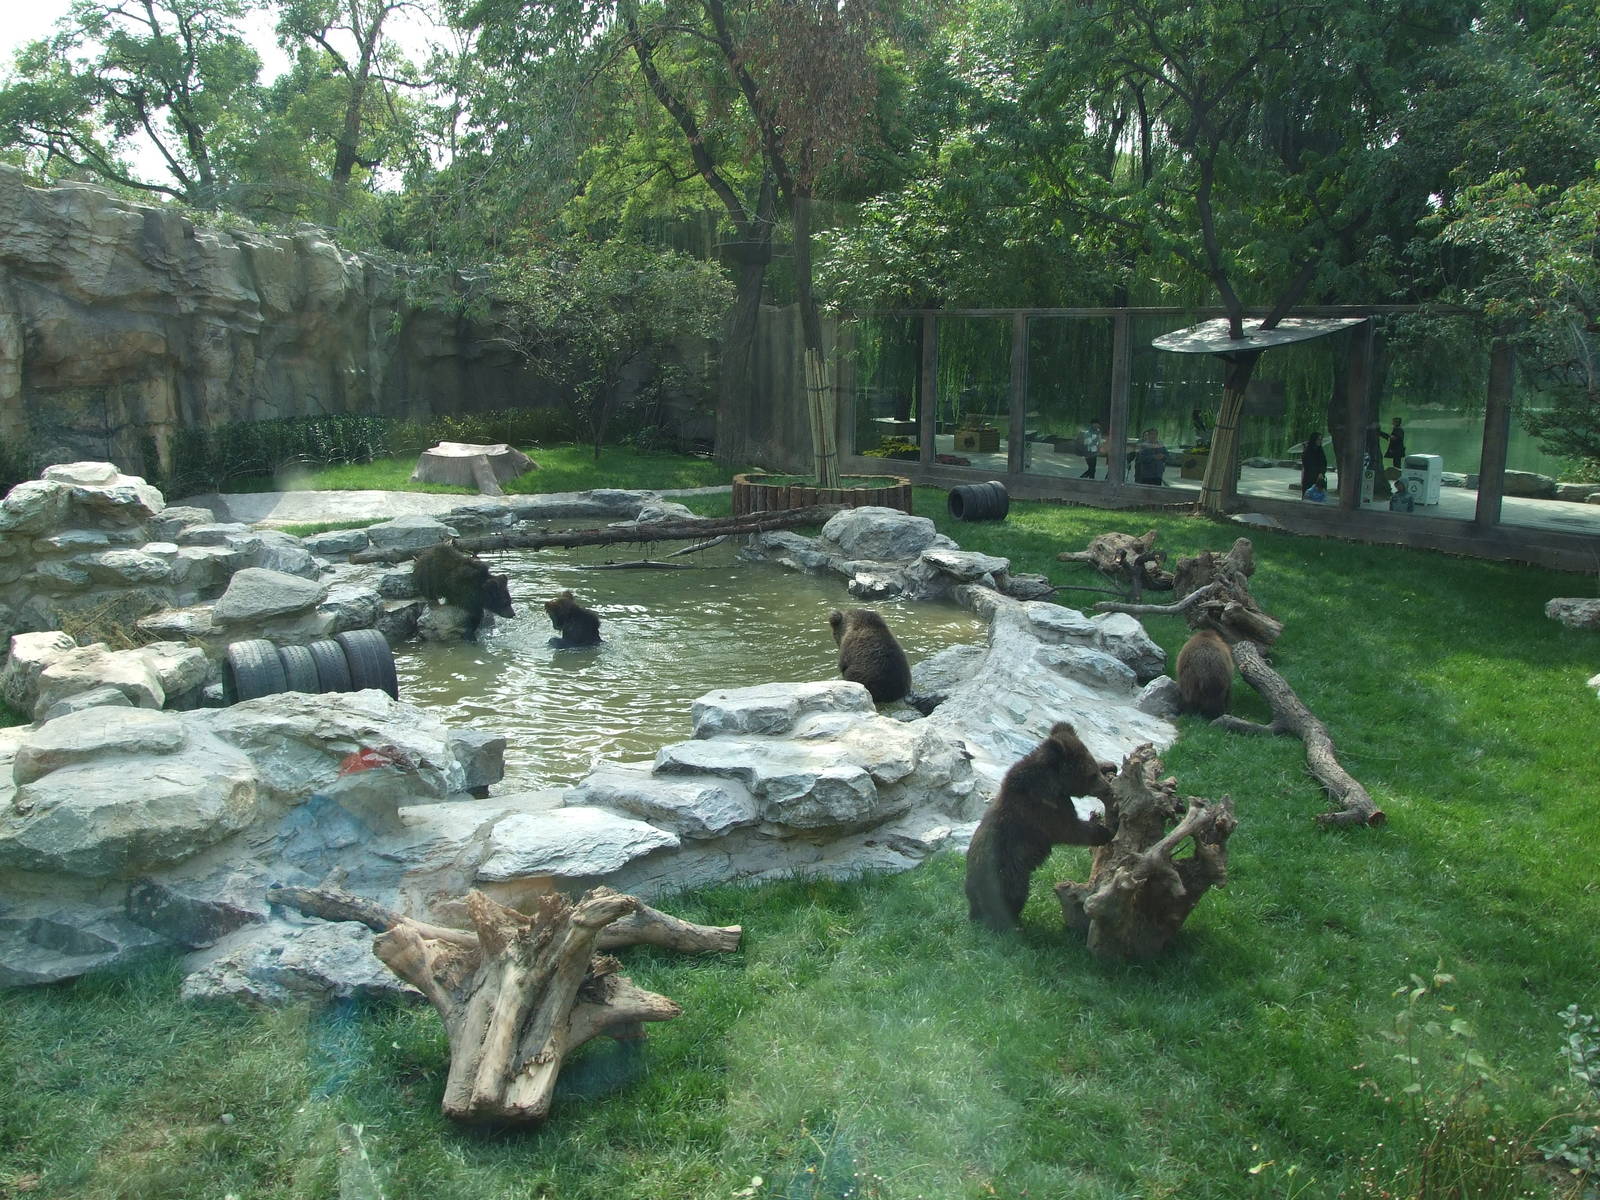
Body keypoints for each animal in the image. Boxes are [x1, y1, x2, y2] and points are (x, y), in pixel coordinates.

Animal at [964, 721, 1117, 933]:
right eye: (1091, 775)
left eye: (1094, 768)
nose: (1107, 788)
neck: (1053, 783)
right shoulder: (1040, 809)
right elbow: (1068, 828)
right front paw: (1105, 830)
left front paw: (1111, 765)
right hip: (1006, 872)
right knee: (1013, 895)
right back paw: (1011, 925)